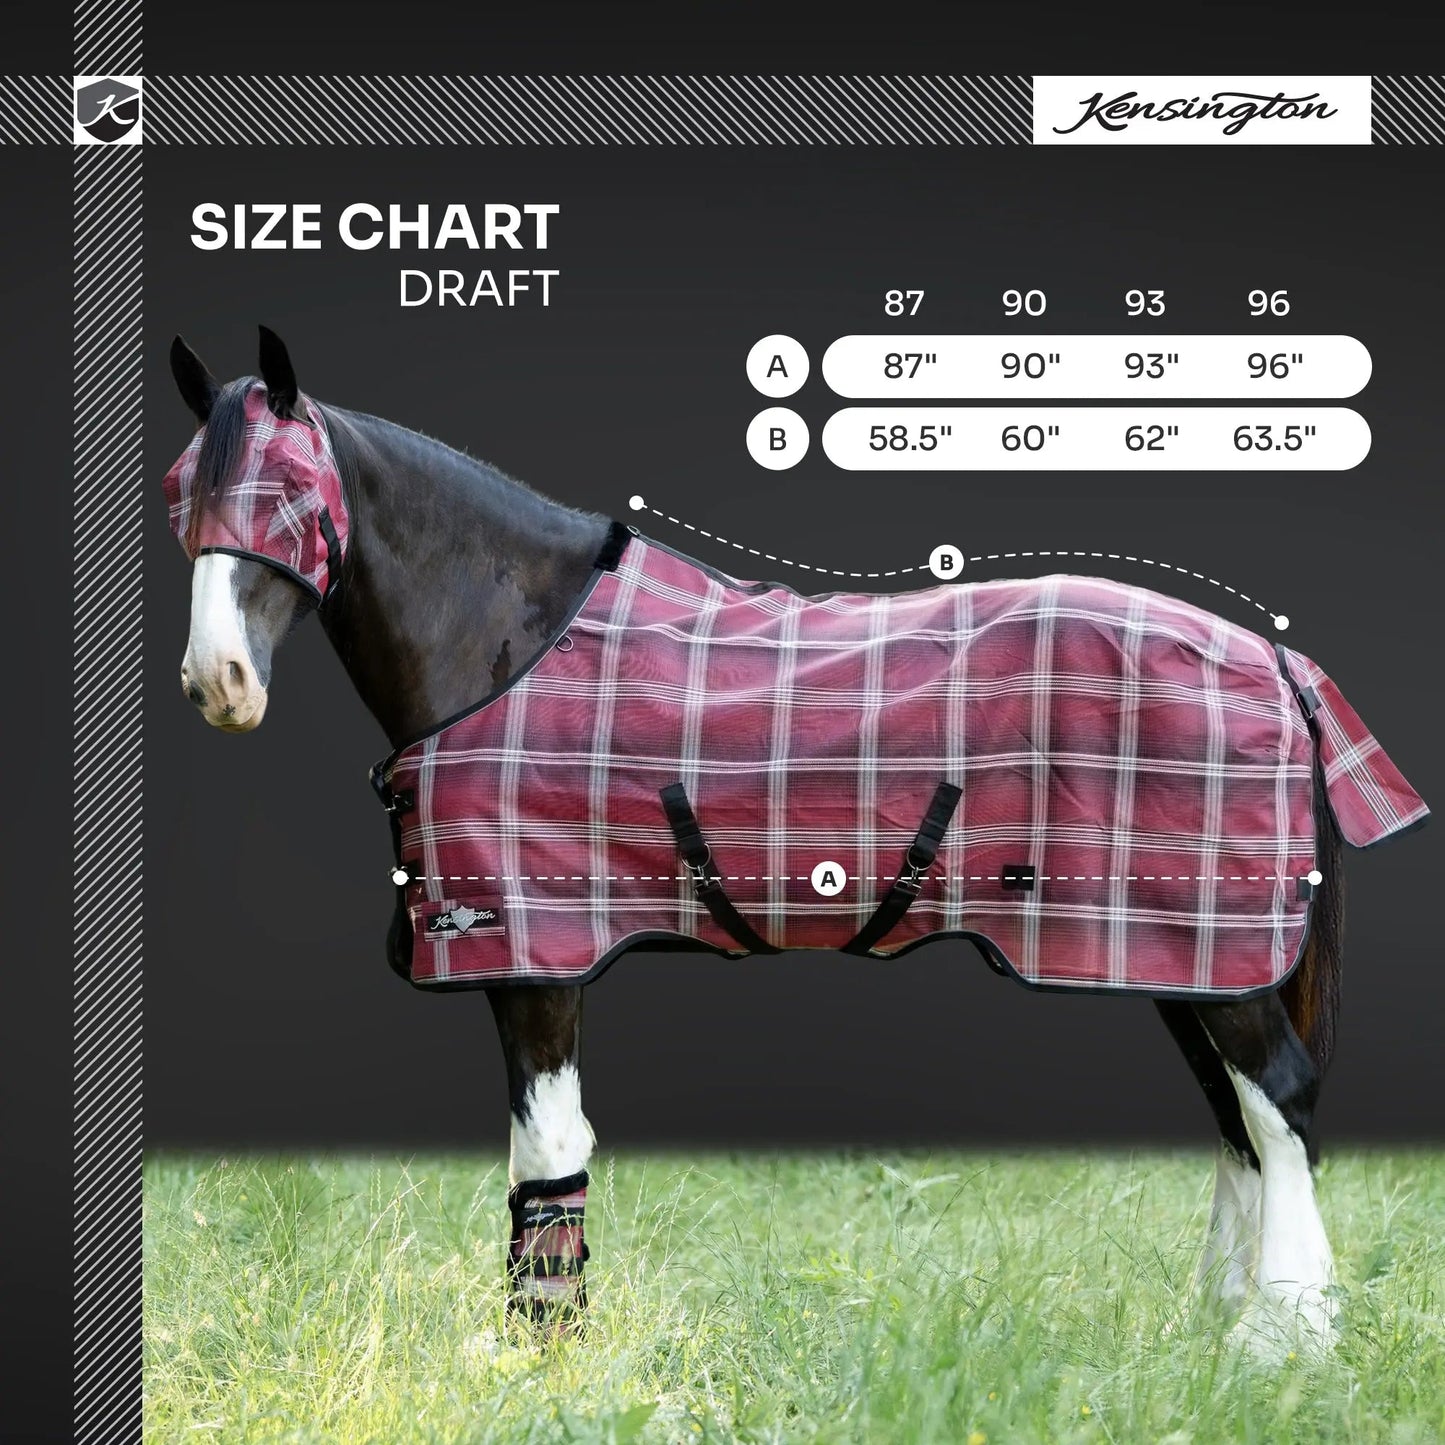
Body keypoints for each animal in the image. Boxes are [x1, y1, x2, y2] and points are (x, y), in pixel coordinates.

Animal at [162, 328, 1427, 1348]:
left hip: (1211, 952)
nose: (217, 681)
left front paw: (542, 1347)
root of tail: (1273, 656)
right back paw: (1221, 1322)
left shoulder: (537, 953)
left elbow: (548, 1145)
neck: (511, 639)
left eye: (288, 493)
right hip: (1174, 956)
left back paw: (1281, 1338)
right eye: (181, 493)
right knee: (1238, 1120)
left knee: (1276, 1100)